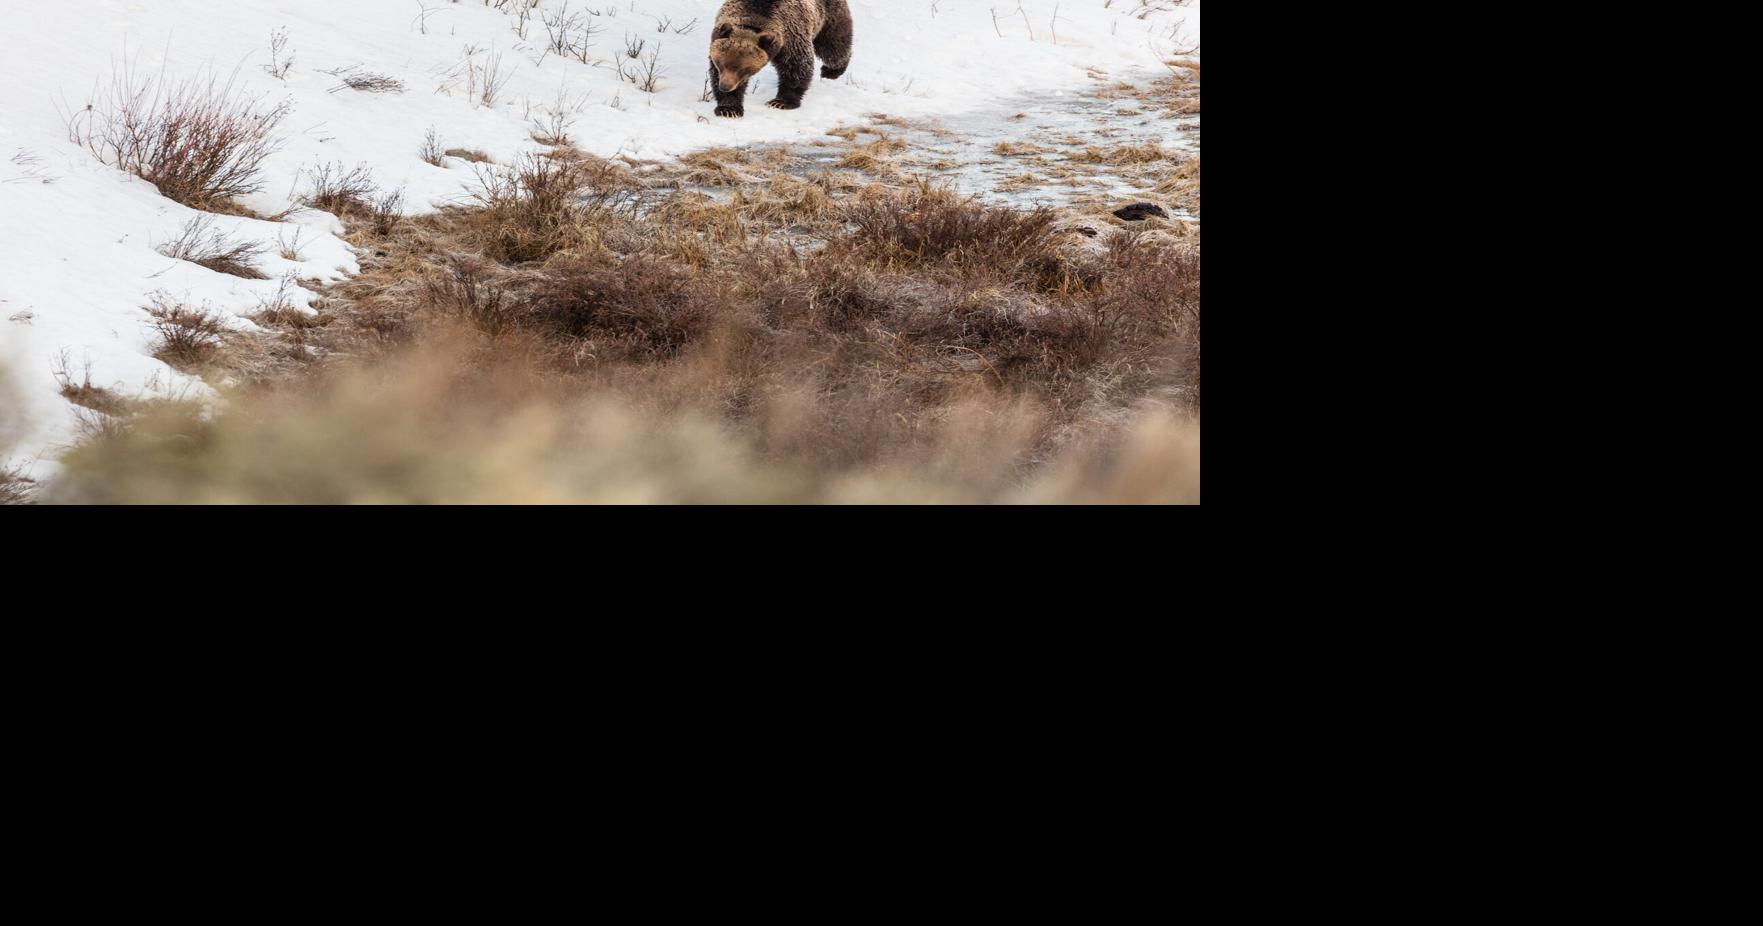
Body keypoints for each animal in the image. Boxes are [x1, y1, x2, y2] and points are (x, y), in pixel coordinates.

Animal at [708, 0, 854, 118]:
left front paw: (780, 102)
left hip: (828, 15)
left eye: (743, 70)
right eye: (721, 64)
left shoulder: (791, 36)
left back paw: (831, 71)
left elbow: (796, 67)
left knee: (833, 45)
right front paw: (729, 109)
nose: (725, 87)